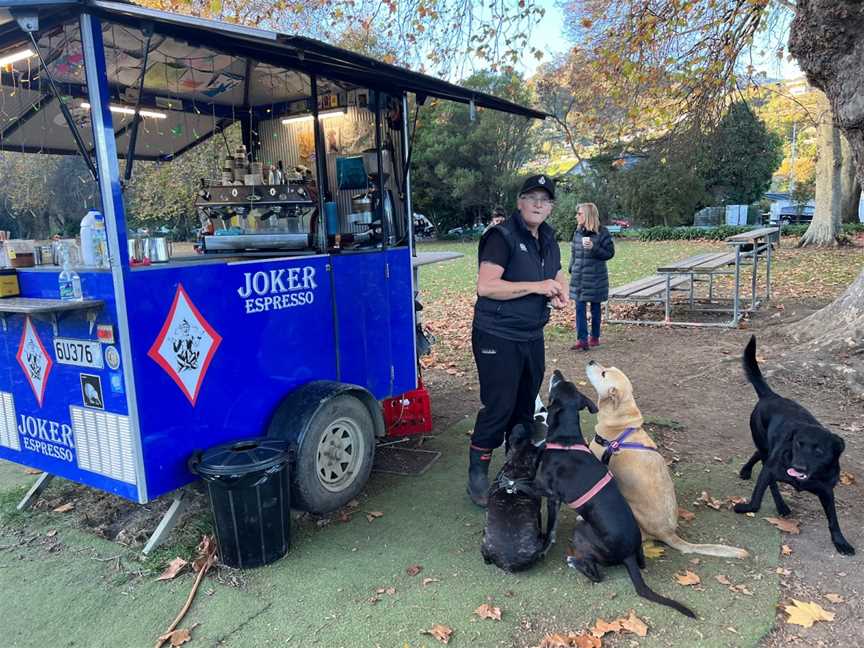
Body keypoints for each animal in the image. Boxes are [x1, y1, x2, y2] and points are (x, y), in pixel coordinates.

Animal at [540, 370, 696, 616]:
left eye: (556, 386)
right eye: (564, 382)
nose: (556, 372)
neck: (567, 440)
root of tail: (629, 555)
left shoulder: (550, 495)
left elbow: (549, 525)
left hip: (583, 532)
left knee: (597, 575)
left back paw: (574, 562)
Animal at [736, 336, 852, 556]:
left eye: (819, 451)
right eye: (799, 444)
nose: (797, 467)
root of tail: (772, 396)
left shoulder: (827, 490)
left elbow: (833, 520)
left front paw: (841, 542)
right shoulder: (771, 469)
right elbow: (757, 500)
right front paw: (744, 508)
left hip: (767, 446)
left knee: (757, 454)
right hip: (765, 446)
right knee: (767, 472)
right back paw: (779, 503)